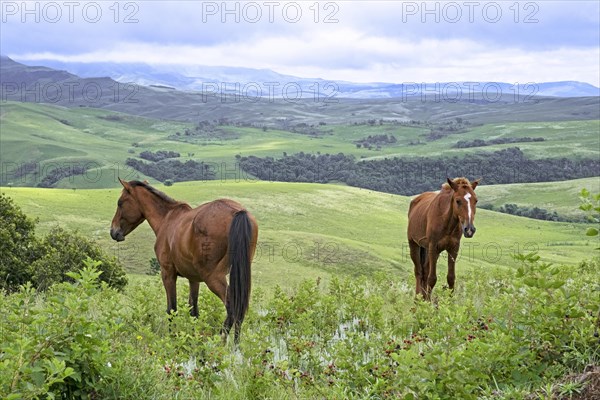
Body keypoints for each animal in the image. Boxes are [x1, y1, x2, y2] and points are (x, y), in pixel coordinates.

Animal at [109, 180, 258, 342]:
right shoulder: (194, 279)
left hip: (213, 278)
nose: (113, 231)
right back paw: (236, 345)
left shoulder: (167, 274)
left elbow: (172, 309)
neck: (167, 219)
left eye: (120, 203)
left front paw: (173, 339)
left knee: (232, 307)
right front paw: (193, 339)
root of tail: (238, 212)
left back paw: (220, 342)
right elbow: (194, 311)